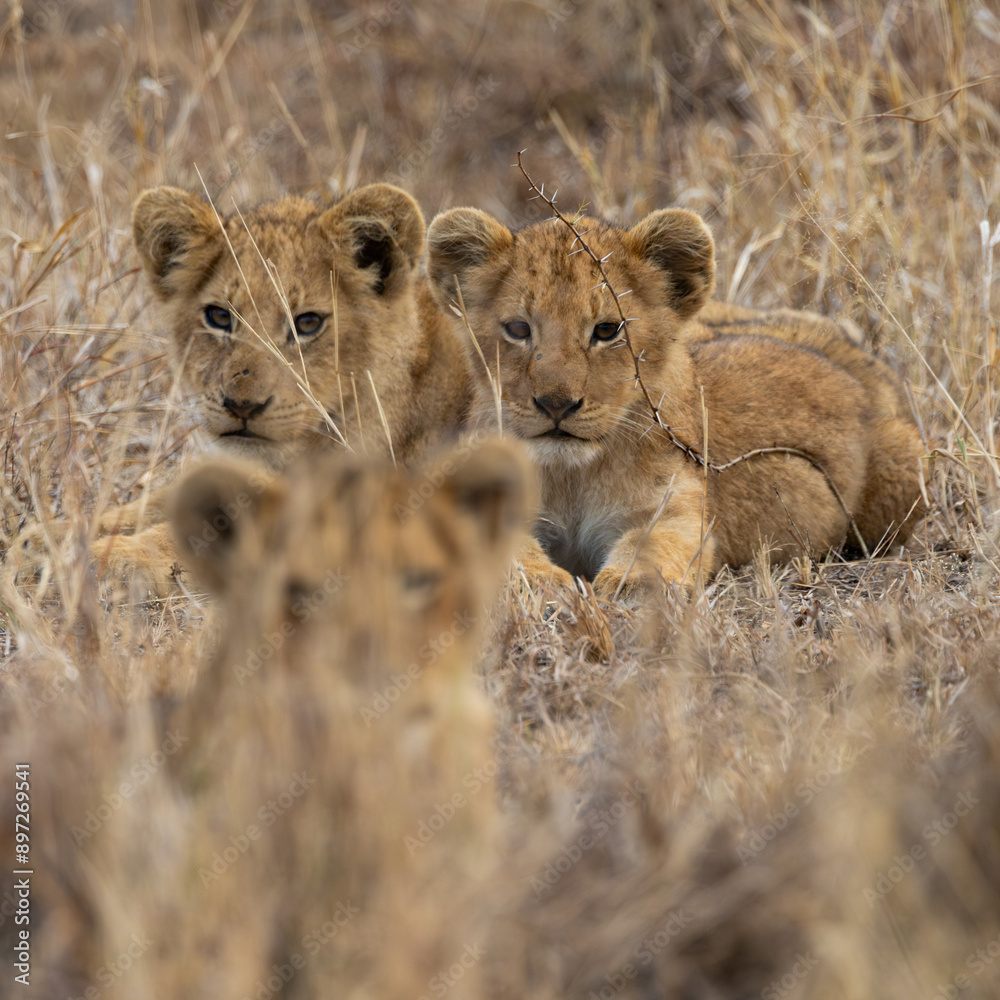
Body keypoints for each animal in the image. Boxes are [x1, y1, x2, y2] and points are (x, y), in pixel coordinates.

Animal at [87, 182, 471, 595]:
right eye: (219, 316)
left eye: (307, 323)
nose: (242, 406)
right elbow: (156, 500)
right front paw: (65, 532)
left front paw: (113, 556)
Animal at [425, 206, 925, 599]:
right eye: (518, 329)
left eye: (607, 330)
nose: (556, 405)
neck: (573, 476)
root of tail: (853, 355)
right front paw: (541, 582)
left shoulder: (677, 509)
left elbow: (653, 545)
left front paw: (632, 584)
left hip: (904, 464)